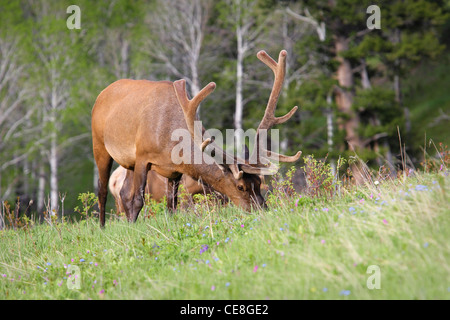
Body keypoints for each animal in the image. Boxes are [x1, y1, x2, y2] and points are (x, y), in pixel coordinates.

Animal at [91, 48, 300, 226]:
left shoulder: (174, 171)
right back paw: (102, 228)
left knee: (124, 192)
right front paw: (134, 230)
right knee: (102, 190)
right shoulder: (142, 156)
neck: (170, 142)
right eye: (240, 187)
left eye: (258, 183)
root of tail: (101, 94)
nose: (262, 210)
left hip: (128, 162)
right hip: (100, 144)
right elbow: (138, 200)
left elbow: (172, 205)